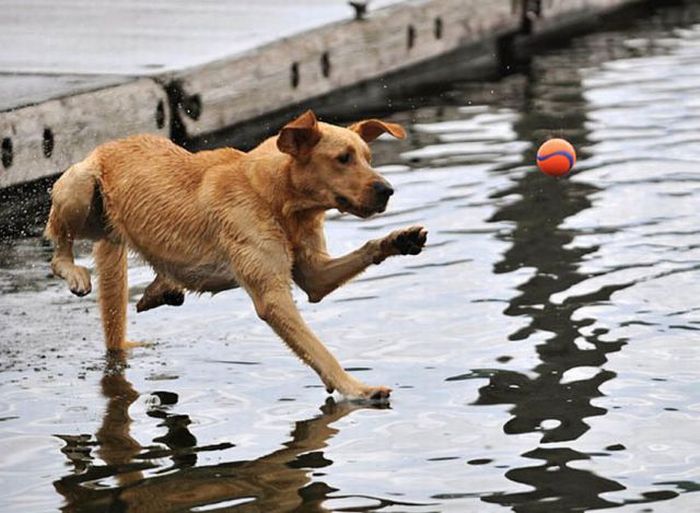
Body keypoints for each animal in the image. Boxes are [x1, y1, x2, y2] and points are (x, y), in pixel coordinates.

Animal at [45, 110, 426, 400]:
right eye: (342, 159)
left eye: (368, 158)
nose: (387, 190)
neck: (275, 196)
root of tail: (108, 146)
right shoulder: (272, 296)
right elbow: (320, 351)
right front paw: (356, 388)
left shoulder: (314, 274)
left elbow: (348, 261)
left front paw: (399, 240)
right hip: (80, 189)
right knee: (58, 248)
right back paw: (76, 272)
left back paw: (162, 289)